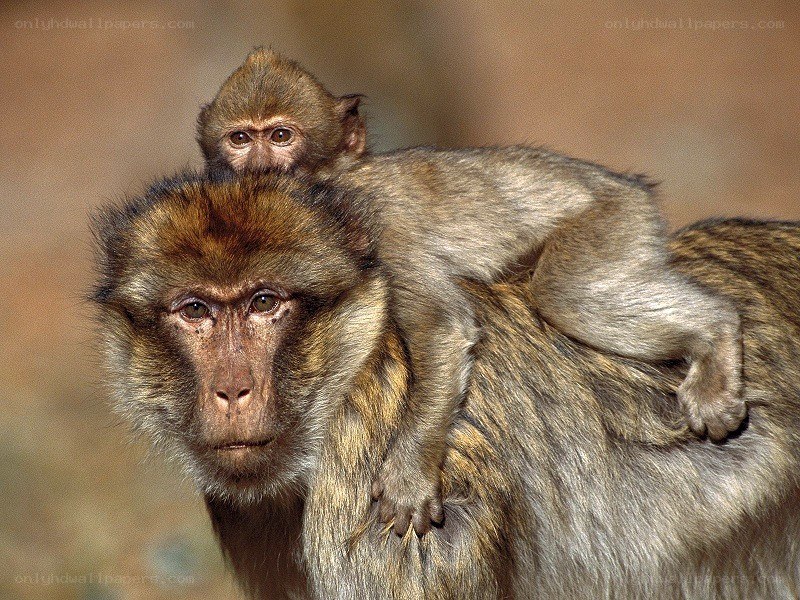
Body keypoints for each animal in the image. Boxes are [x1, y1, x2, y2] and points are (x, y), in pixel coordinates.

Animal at [194, 49, 747, 537]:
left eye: (280, 136)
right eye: (240, 138)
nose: (258, 167)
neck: (333, 185)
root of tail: (627, 185)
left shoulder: (379, 223)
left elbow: (442, 326)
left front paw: (409, 474)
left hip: (611, 222)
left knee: (565, 292)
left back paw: (717, 332)